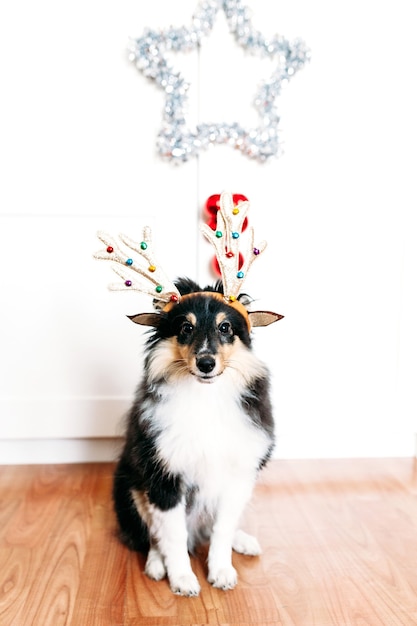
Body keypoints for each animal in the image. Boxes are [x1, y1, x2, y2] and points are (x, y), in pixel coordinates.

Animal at [111, 276, 280, 592]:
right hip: (131, 488)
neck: (206, 396)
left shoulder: (238, 475)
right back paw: (156, 565)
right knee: (154, 536)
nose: (206, 364)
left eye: (225, 327)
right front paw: (182, 580)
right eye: (185, 328)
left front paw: (221, 572)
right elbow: (173, 535)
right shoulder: (164, 477)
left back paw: (244, 541)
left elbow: (222, 529)